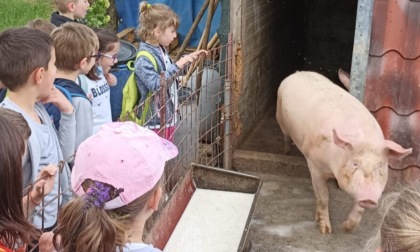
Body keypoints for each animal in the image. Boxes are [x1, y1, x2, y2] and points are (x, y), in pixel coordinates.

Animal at [278, 70, 412, 233]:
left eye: (380, 167)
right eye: (355, 163)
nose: (369, 198)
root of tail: (298, 72)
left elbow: (358, 209)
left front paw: (345, 228)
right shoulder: (314, 164)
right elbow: (323, 196)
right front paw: (326, 230)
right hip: (280, 118)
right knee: (285, 136)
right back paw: (286, 152)